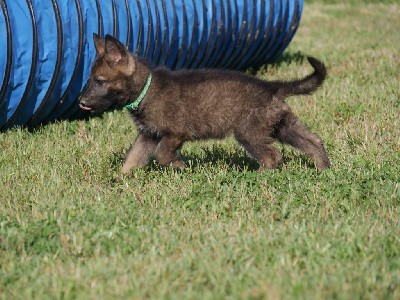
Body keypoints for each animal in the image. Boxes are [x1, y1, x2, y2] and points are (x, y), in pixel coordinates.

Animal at [79, 34, 330, 175]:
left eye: (99, 81)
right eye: (90, 79)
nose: (81, 102)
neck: (145, 89)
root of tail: (272, 88)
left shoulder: (176, 133)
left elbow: (161, 155)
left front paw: (178, 166)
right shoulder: (148, 135)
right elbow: (132, 158)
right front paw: (119, 179)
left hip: (249, 132)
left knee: (272, 156)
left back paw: (259, 175)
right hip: (281, 126)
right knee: (313, 141)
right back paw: (323, 168)